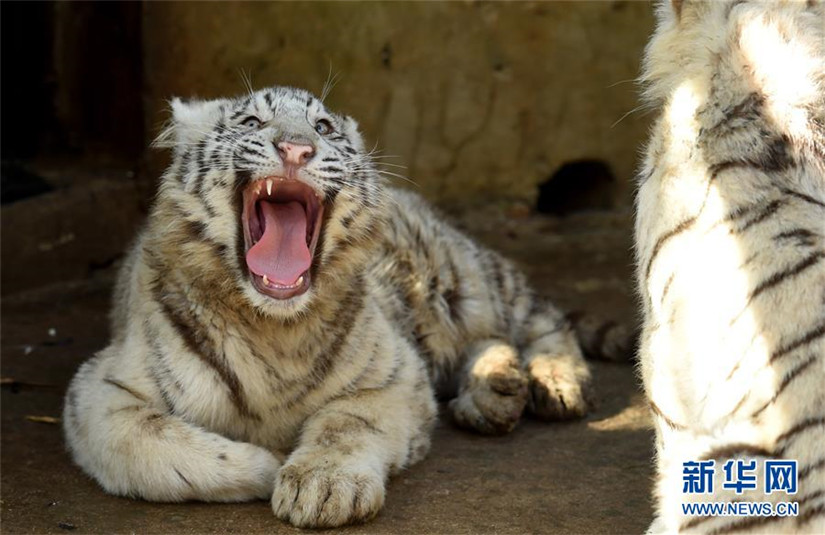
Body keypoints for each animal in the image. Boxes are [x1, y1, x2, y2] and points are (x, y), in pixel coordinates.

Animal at [62, 85, 631, 528]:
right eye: (251, 122)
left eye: (324, 128)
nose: (296, 149)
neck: (274, 326)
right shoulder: (101, 392)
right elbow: (154, 441)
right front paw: (268, 463)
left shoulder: (394, 374)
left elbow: (346, 423)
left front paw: (322, 487)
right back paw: (495, 393)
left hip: (467, 280)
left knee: (540, 319)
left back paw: (556, 384)